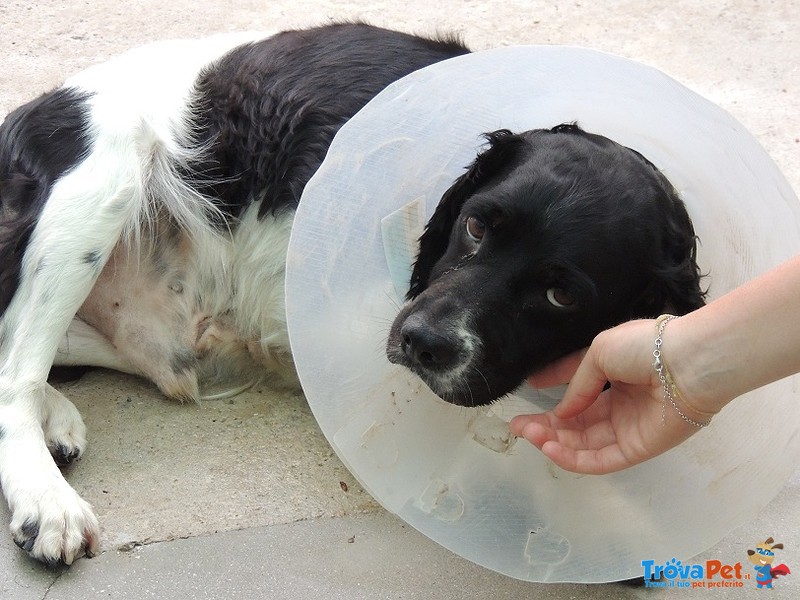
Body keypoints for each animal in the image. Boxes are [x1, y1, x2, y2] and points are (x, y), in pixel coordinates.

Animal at [0, 24, 700, 568]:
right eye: (476, 225)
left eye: (561, 295)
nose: (423, 344)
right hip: (104, 179)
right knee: (16, 371)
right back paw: (46, 499)